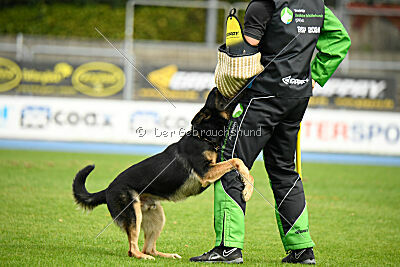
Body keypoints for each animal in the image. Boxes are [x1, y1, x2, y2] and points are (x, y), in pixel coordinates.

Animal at [72, 89, 253, 260]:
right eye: (220, 95)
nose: (216, 86)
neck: (203, 136)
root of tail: (108, 189)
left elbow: (238, 163)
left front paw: (247, 187)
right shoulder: (206, 172)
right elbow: (237, 161)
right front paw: (248, 191)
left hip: (157, 216)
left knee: (149, 248)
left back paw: (167, 255)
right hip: (134, 214)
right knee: (133, 249)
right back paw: (143, 257)